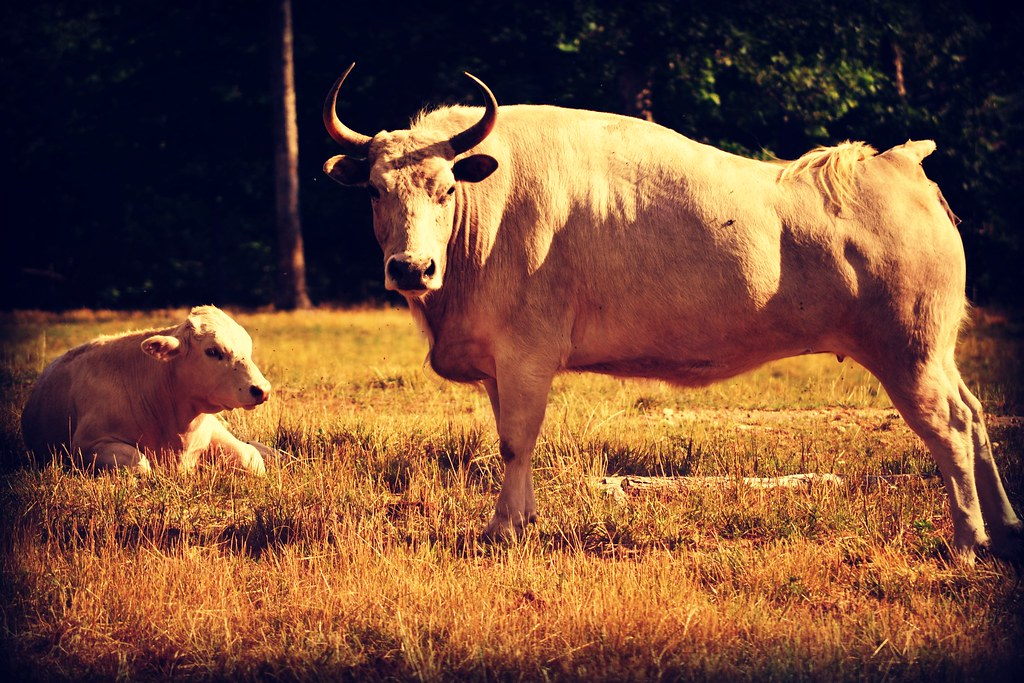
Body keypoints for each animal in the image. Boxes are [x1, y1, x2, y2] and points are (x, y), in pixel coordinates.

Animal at [22, 305, 274, 475]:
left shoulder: (212, 431)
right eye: (212, 351)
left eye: (248, 349)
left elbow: (251, 459)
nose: (262, 390)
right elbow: (141, 464)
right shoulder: (86, 445)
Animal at [321, 66, 1024, 565]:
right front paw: (519, 521)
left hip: (909, 354)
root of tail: (898, 162)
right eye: (376, 191)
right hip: (934, 352)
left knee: (949, 426)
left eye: (446, 189)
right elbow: (510, 441)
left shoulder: (526, 357)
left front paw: (501, 530)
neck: (485, 216)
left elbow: (515, 440)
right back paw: (1006, 525)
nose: (411, 269)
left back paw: (969, 541)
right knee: (975, 414)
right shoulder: (500, 365)